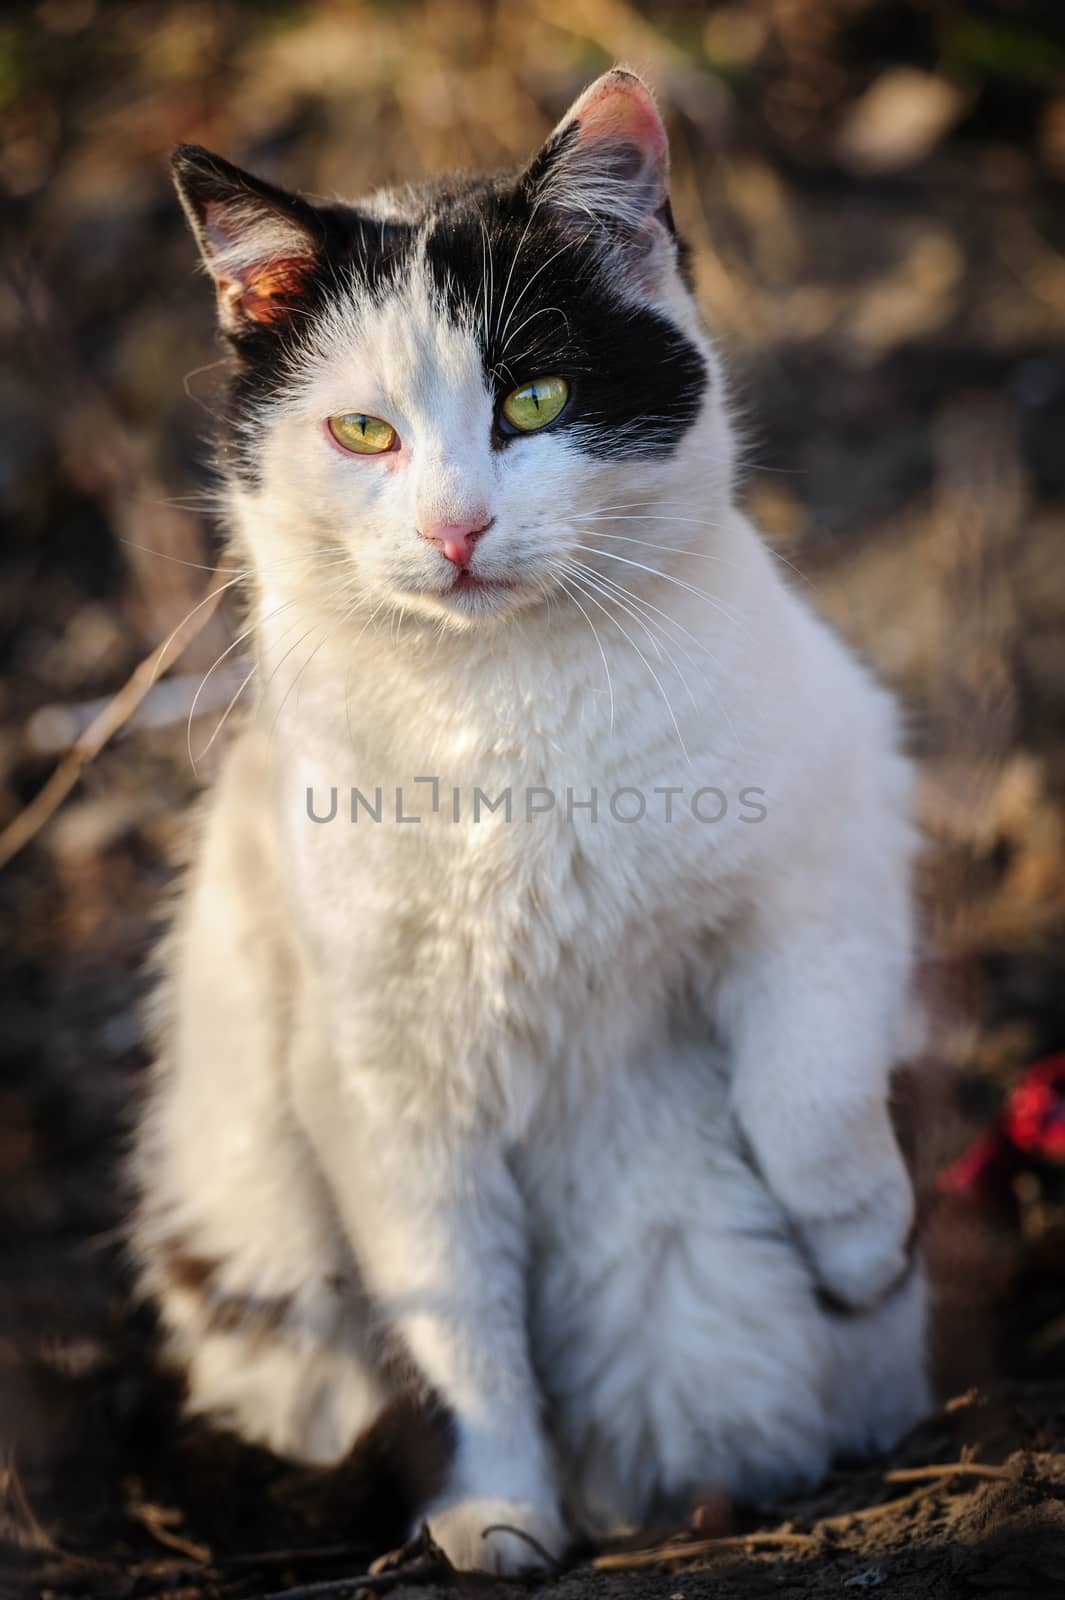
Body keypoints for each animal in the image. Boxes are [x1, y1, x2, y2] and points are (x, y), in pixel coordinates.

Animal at [132, 68, 927, 1568]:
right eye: (364, 433)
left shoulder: (834, 842)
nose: (457, 528)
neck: (506, 717)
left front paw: (866, 1256)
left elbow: (811, 1102)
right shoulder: (382, 1078)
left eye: (536, 398)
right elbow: (458, 1324)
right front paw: (497, 1511)